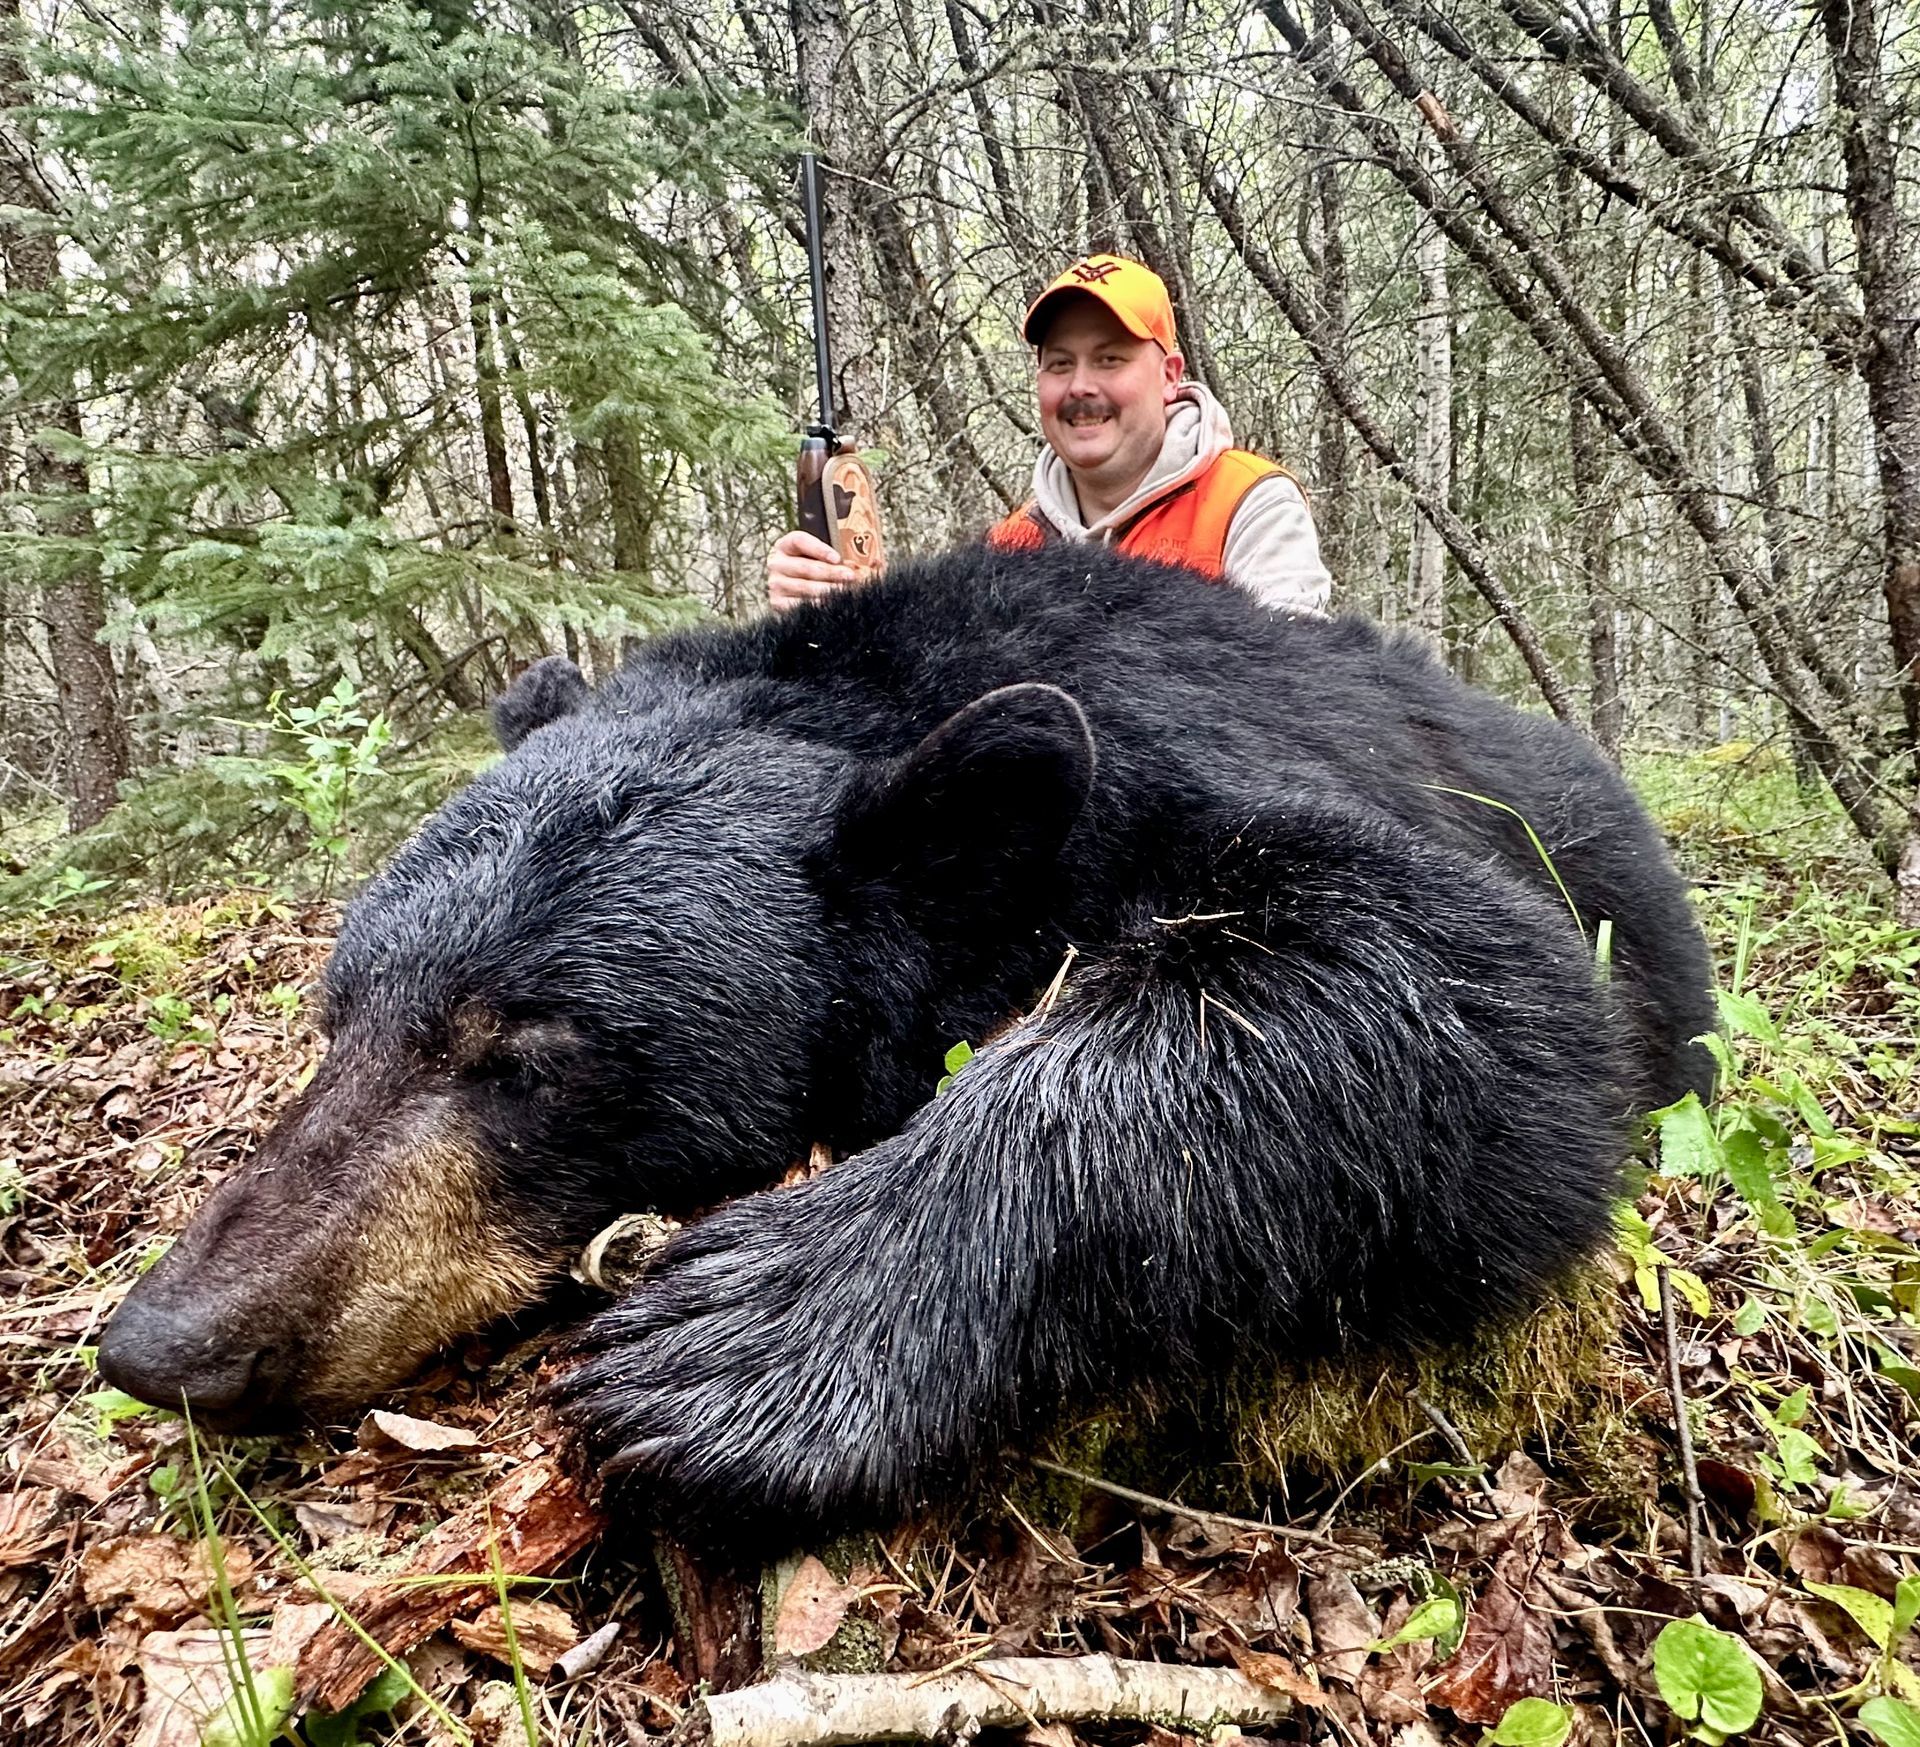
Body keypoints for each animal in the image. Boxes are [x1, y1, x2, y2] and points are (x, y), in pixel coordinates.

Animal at [98, 541, 1716, 1535]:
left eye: (528, 1053)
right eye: (340, 1014)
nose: (165, 1340)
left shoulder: (1187, 775)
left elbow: (1484, 983)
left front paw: (752, 1334)